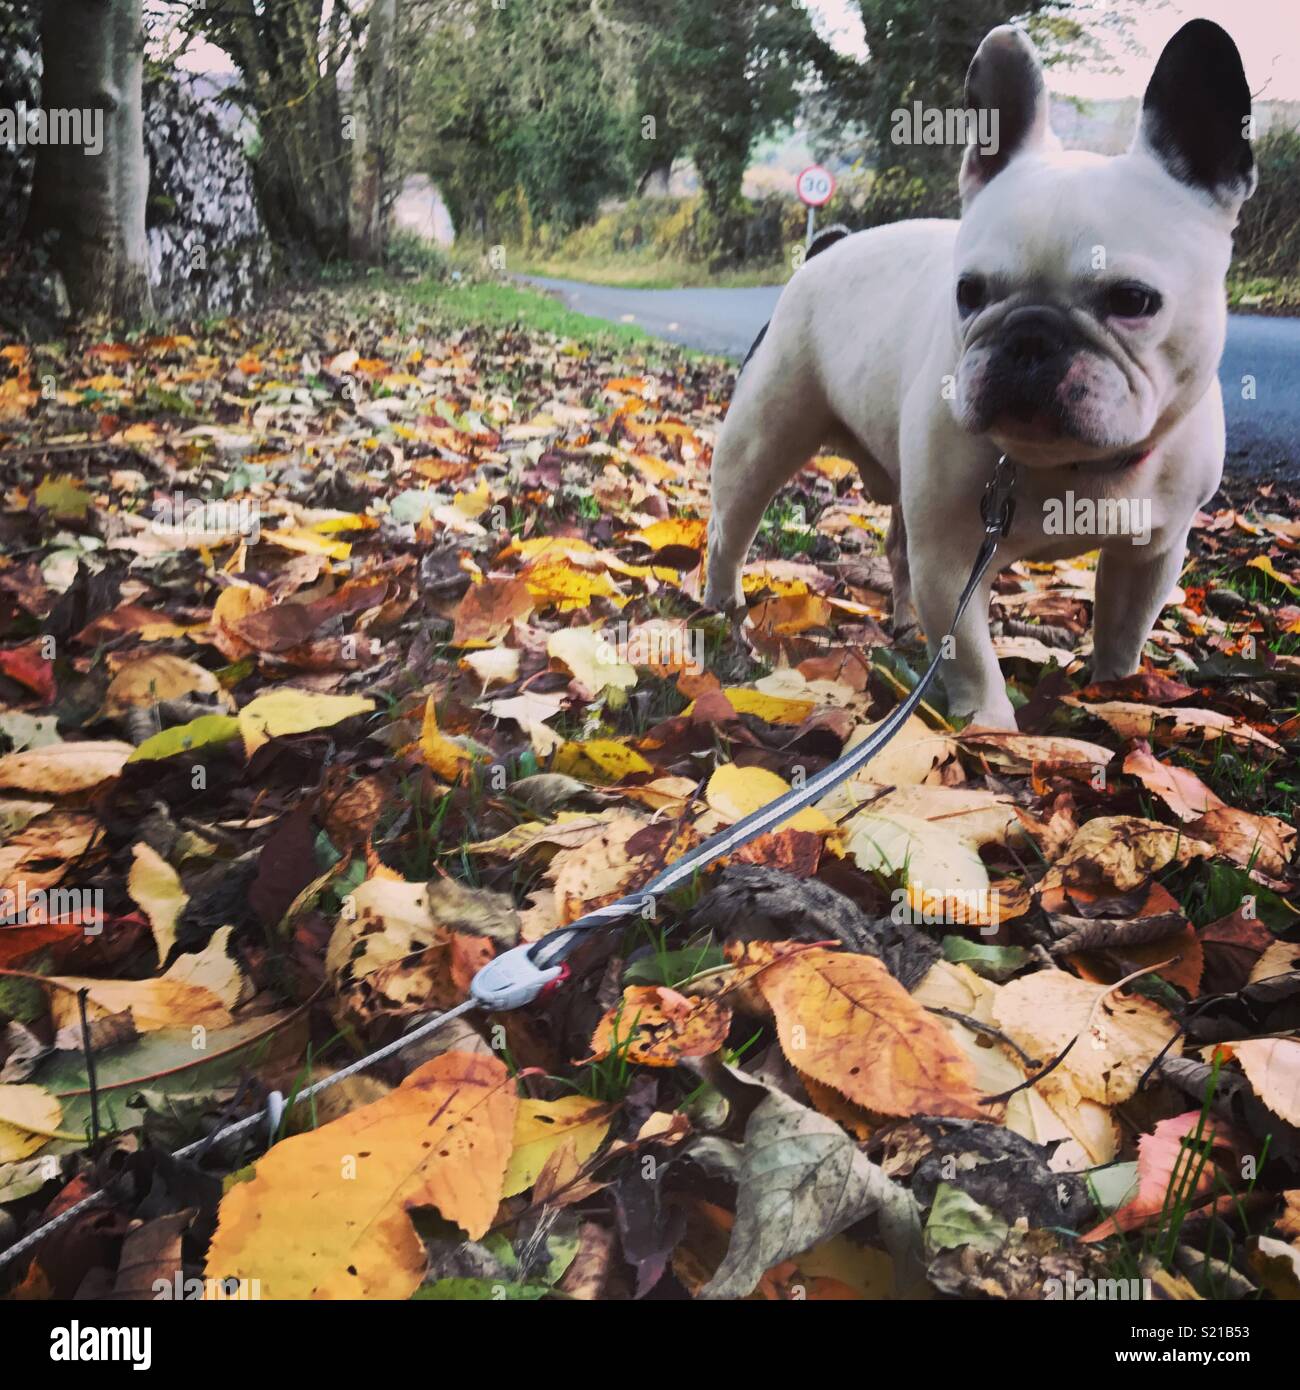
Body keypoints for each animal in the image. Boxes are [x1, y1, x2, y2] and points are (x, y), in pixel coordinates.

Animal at [706, 19, 1256, 728]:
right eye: (967, 292)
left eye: (1133, 300)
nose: (1029, 336)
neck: (1072, 465)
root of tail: (826, 248)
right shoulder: (953, 558)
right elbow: (968, 650)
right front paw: (992, 727)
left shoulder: (1153, 553)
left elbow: (1123, 628)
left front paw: (1115, 692)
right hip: (763, 436)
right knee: (732, 526)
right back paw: (722, 613)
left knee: (898, 552)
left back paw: (901, 626)